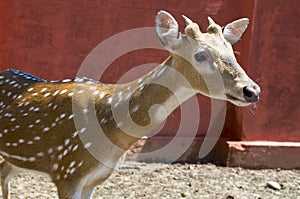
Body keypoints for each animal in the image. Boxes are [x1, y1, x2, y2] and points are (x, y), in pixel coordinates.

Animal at [0, 10, 260, 199]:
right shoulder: (66, 171)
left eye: (232, 51)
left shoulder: (95, 178)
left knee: (5, 174)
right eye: (200, 55)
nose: (252, 90)